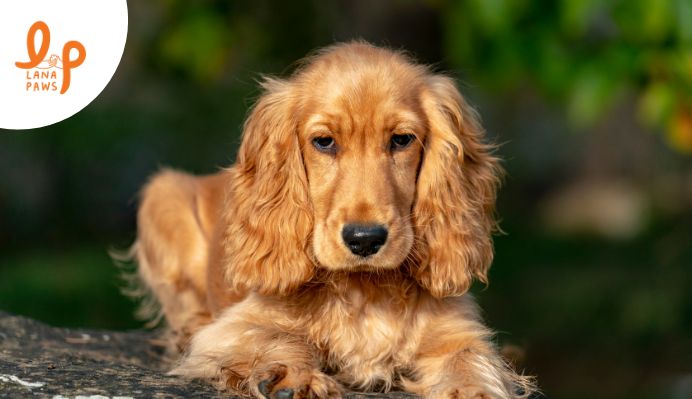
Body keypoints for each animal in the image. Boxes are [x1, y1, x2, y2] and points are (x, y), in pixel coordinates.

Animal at [131, 42, 536, 398]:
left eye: (402, 139)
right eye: (324, 142)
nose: (365, 239)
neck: (366, 290)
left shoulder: (455, 331)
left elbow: (469, 359)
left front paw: (473, 390)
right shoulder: (235, 326)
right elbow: (276, 336)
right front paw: (290, 375)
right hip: (162, 194)